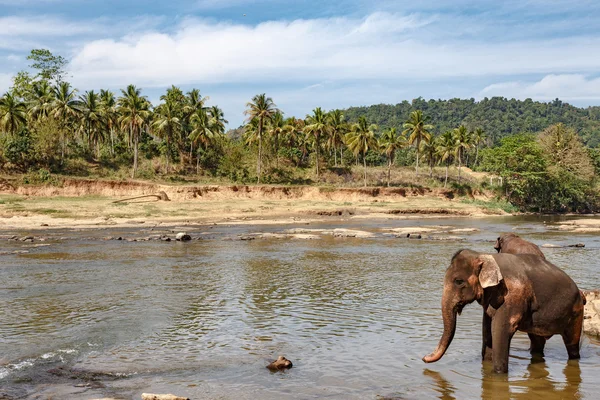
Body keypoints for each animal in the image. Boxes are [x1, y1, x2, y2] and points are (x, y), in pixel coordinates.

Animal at [422, 248, 584, 374]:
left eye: (458, 281)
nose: (423, 358)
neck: (484, 255)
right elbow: (487, 330)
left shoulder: (511, 295)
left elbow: (500, 330)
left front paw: (498, 374)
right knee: (537, 343)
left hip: (576, 313)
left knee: (572, 345)